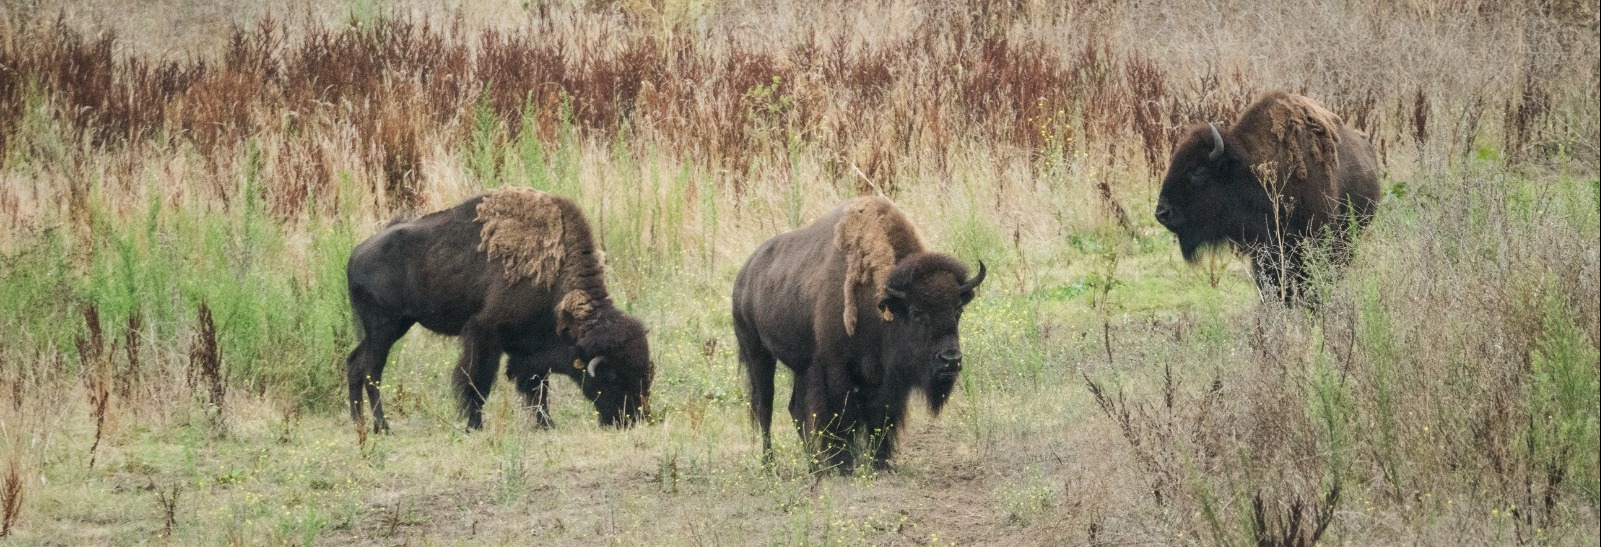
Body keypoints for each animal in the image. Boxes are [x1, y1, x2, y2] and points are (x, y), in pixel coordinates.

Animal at [346, 188, 653, 433]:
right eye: (612, 376)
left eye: (645, 371)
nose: (633, 418)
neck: (554, 273)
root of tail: (356, 254)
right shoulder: (484, 332)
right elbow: (478, 381)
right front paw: (475, 426)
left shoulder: (530, 349)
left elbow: (537, 388)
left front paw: (546, 424)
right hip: (384, 329)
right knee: (371, 371)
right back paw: (383, 427)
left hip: (391, 327)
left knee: (354, 363)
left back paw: (360, 424)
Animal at [732, 196, 985, 473]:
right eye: (917, 312)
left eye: (958, 309)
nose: (951, 360)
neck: (881, 305)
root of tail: (744, 275)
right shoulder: (835, 371)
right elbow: (841, 418)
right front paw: (843, 465)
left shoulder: (886, 381)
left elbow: (881, 419)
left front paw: (881, 463)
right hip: (758, 354)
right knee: (764, 409)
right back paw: (771, 467)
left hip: (800, 366)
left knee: (794, 410)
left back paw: (814, 467)